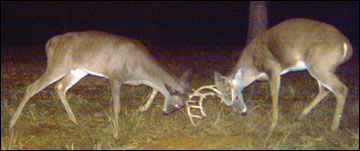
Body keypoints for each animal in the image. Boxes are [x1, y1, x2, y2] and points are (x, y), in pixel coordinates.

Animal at [9, 30, 193, 138]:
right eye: (179, 105)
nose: (166, 112)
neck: (140, 69)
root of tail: (50, 43)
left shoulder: (138, 80)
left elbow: (156, 88)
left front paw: (142, 108)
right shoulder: (115, 77)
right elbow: (117, 106)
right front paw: (116, 134)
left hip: (78, 70)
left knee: (60, 87)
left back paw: (75, 121)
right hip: (58, 65)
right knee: (32, 87)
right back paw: (11, 124)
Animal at [214, 18, 352, 131]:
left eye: (236, 97)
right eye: (226, 102)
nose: (242, 112)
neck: (253, 67)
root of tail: (346, 44)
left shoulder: (273, 68)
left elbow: (274, 94)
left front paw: (273, 124)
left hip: (320, 65)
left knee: (341, 89)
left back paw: (333, 127)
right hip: (321, 67)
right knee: (324, 90)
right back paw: (302, 114)